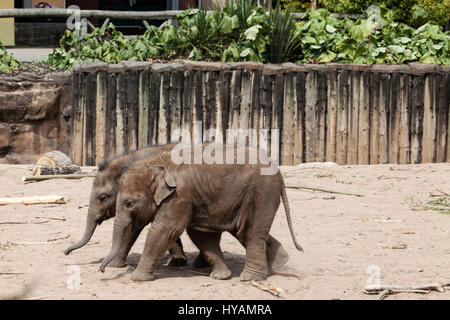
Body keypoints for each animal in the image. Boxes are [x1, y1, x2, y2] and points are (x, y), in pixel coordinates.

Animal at [98, 149, 302, 282]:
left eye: (129, 203)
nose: (101, 271)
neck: (158, 162)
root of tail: (279, 173)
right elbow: (199, 233)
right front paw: (220, 277)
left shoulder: (179, 195)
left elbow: (165, 230)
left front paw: (137, 278)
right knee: (242, 230)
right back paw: (278, 264)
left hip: (262, 193)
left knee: (251, 232)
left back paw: (250, 278)